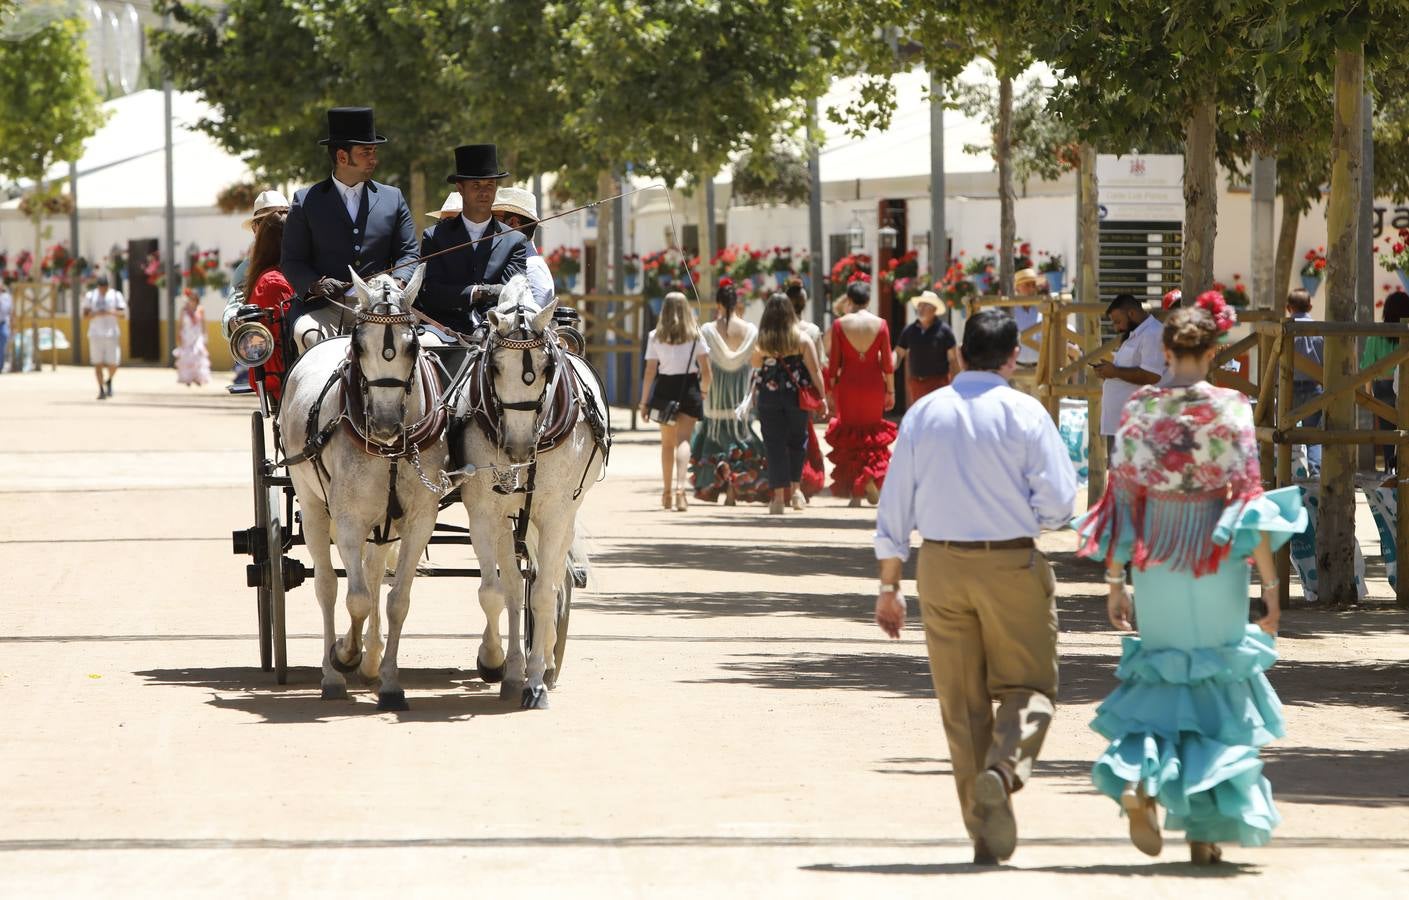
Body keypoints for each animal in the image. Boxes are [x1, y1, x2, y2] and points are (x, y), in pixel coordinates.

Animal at [276, 267, 448, 709]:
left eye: (413, 344)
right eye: (359, 344)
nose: (385, 424)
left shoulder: (418, 520)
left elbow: (395, 599)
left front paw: (388, 681)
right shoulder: (349, 519)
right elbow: (355, 598)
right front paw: (344, 653)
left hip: (383, 523)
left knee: (371, 576)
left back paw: (370, 661)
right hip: (313, 506)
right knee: (328, 585)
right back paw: (333, 671)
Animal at [453, 276, 603, 709]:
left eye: (546, 366)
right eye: (494, 365)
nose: (518, 447)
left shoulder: (554, 514)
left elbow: (542, 594)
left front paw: (536, 681)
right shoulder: (485, 513)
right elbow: (496, 591)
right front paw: (498, 664)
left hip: (563, 515)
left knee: (554, 579)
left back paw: (548, 659)